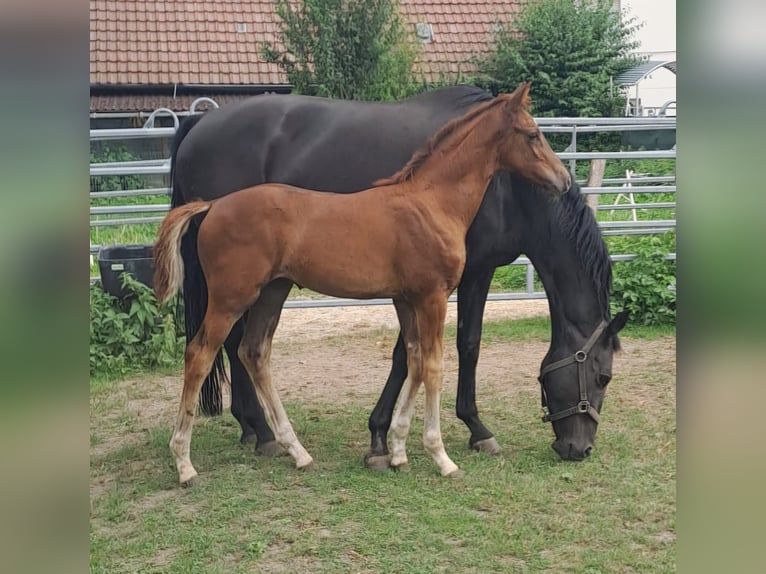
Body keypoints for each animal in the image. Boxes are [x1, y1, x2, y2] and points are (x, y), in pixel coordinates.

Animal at [171, 84, 628, 464]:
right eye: (602, 376)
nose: (578, 448)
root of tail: (198, 124)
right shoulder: (462, 277)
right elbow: (455, 348)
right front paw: (454, 432)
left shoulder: (425, 285)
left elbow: (423, 353)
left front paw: (395, 439)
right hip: (239, 288)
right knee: (220, 347)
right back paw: (253, 436)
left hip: (264, 287)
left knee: (242, 348)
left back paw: (258, 432)